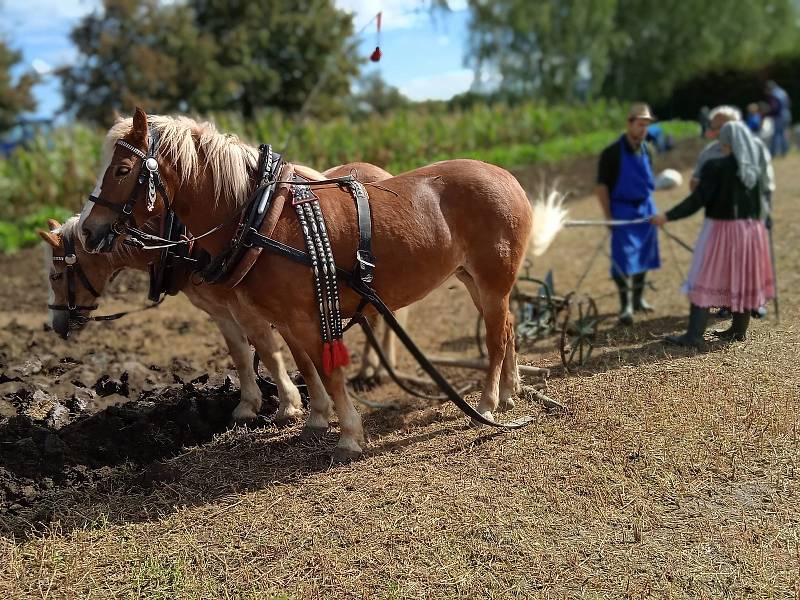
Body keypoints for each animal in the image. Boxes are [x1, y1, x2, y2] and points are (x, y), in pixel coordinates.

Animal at [76, 109, 564, 464]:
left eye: (122, 169)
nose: (90, 230)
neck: (261, 218)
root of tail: (507, 177)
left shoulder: (304, 316)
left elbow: (327, 371)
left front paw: (348, 434)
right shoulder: (285, 318)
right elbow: (303, 366)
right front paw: (314, 418)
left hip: (492, 280)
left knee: (496, 337)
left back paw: (488, 402)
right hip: (476, 281)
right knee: (508, 328)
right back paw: (511, 390)